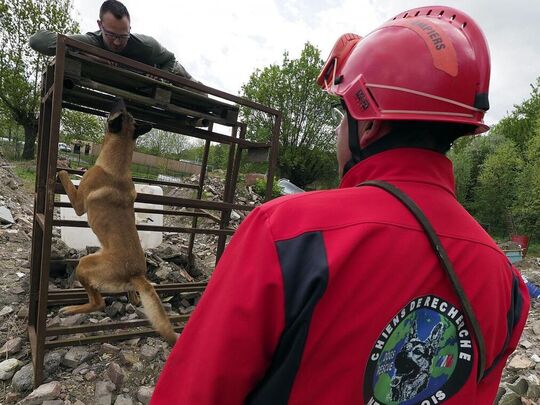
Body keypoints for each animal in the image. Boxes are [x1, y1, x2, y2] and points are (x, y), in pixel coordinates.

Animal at [58, 98, 178, 344]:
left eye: (118, 109)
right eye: (125, 110)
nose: (118, 98)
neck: (117, 165)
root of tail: (136, 274)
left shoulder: (78, 204)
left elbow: (66, 177)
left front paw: (61, 168)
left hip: (85, 264)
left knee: (98, 302)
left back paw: (71, 310)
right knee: (133, 299)